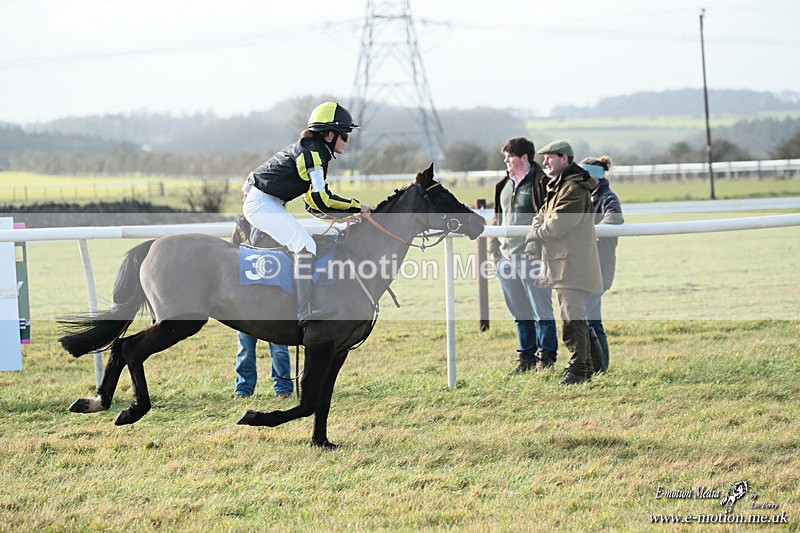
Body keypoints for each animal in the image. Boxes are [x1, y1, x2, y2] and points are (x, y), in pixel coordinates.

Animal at [58, 164, 485, 448]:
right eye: (441, 195)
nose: (479, 224)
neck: (358, 261)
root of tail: (152, 244)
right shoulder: (318, 342)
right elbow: (308, 400)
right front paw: (255, 416)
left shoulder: (339, 349)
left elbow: (323, 400)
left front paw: (321, 442)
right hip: (179, 322)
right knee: (129, 347)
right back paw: (129, 408)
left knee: (119, 346)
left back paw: (96, 401)